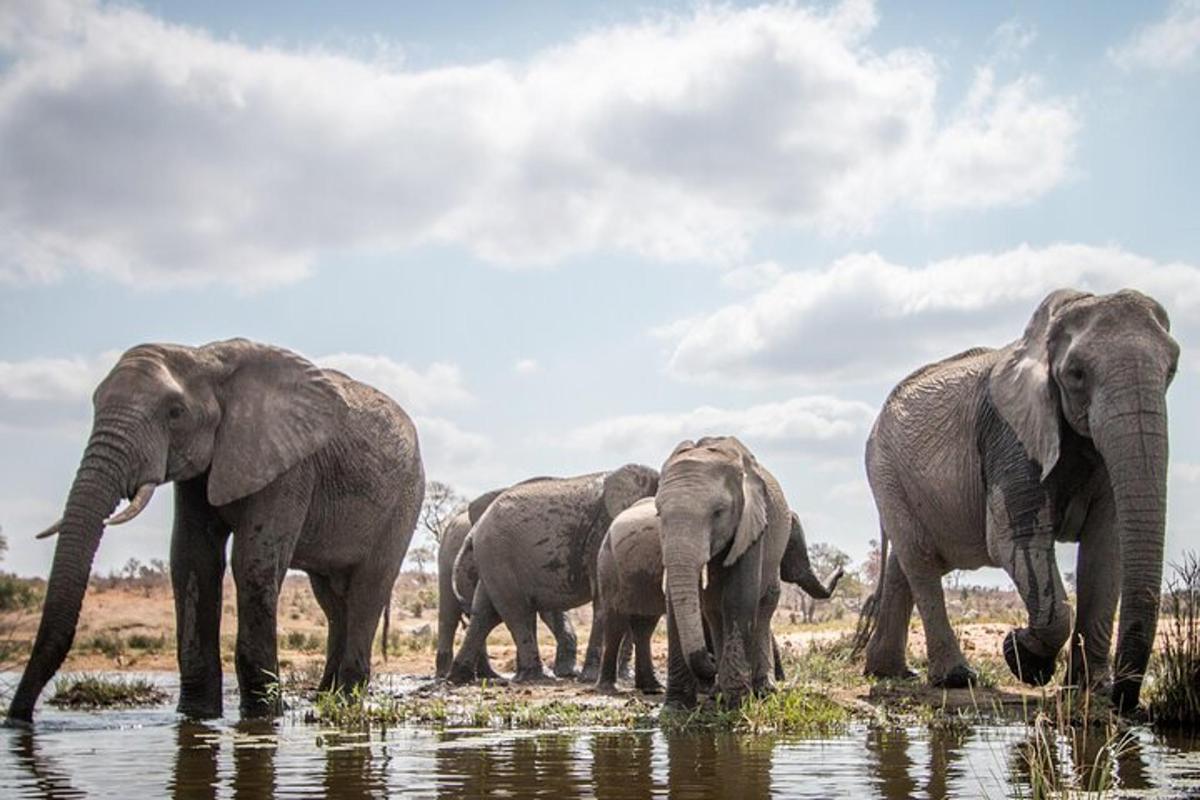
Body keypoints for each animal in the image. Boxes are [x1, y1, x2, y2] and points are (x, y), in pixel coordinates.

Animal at [3, 338, 427, 724]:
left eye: (175, 413)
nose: (17, 719)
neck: (204, 357)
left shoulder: (291, 467)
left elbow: (253, 563)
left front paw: (262, 717)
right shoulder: (196, 473)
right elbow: (192, 560)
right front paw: (197, 716)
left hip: (404, 500)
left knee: (367, 590)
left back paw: (343, 701)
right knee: (332, 599)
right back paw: (325, 699)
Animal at [448, 465, 662, 686]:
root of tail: (475, 528)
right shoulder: (601, 531)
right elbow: (605, 600)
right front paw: (590, 678)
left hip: (492, 559)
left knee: (485, 613)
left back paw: (458, 678)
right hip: (497, 553)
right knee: (516, 612)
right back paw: (538, 676)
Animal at [600, 494, 844, 695]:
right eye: (791, 546)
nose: (842, 569)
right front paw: (709, 686)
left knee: (645, 625)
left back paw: (652, 688)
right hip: (609, 566)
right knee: (615, 621)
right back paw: (610, 689)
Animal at [859, 289, 1176, 714]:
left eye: (1171, 370)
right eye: (1076, 374)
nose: (1127, 704)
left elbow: (1105, 550)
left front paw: (1088, 689)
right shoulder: (1009, 433)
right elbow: (1015, 542)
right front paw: (1023, 659)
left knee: (906, 562)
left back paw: (890, 672)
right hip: (885, 469)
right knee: (920, 559)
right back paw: (956, 678)